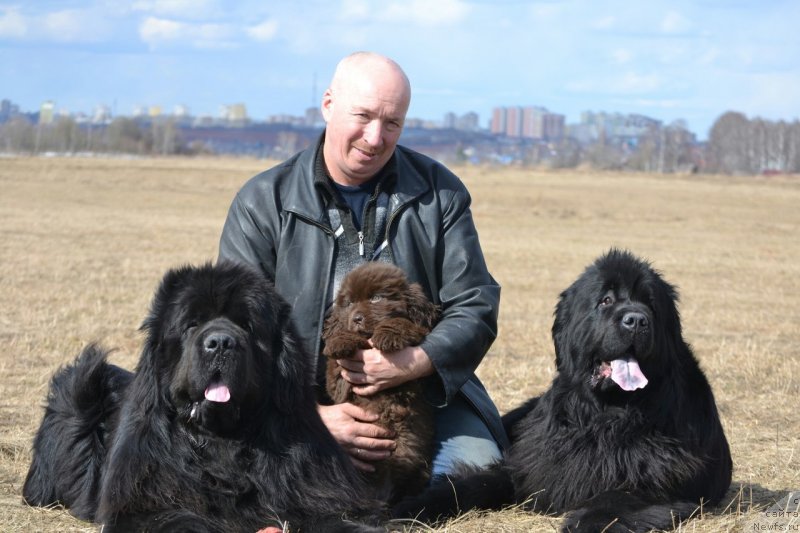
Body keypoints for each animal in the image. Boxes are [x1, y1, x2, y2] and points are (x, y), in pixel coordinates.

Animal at [23, 262, 386, 532]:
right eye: (191, 325)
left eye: (247, 326)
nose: (221, 342)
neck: (222, 441)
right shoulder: (142, 507)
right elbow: (179, 520)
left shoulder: (312, 496)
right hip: (83, 385)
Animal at [322, 262, 440, 502]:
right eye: (349, 303)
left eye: (377, 298)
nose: (356, 318)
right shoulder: (337, 384)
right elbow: (337, 352)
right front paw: (340, 341)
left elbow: (405, 322)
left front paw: (388, 335)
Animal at [394, 249, 732, 532]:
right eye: (605, 300)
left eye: (650, 303)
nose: (636, 320)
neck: (604, 413)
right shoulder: (526, 464)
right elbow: (472, 484)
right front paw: (406, 509)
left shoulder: (656, 484)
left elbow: (614, 499)